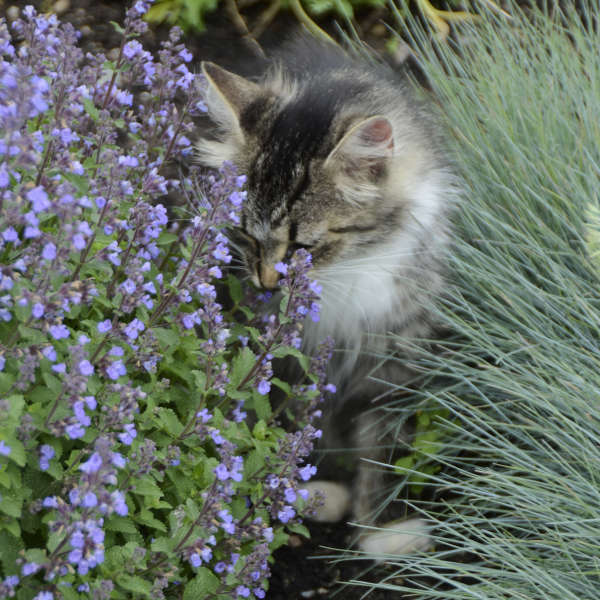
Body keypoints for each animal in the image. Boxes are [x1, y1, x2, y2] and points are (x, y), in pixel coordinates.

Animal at [197, 36, 460, 552]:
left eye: (302, 248)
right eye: (247, 236)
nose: (267, 283)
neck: (351, 271)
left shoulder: (393, 361)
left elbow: (381, 448)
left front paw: (379, 529)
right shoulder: (291, 363)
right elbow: (293, 425)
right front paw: (296, 489)